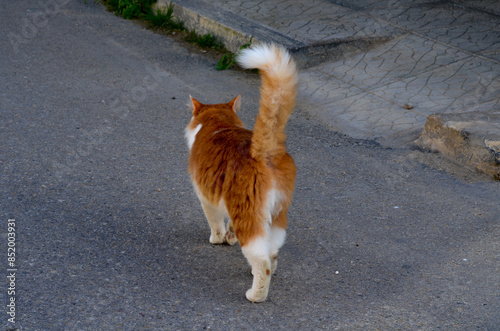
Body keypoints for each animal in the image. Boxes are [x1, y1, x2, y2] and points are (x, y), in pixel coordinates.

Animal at [187, 44, 296, 304]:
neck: (219, 125)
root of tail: (264, 149)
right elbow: (229, 225)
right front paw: (229, 237)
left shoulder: (206, 196)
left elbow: (215, 222)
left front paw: (218, 239)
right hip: (276, 215)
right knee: (272, 252)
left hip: (248, 214)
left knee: (263, 261)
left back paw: (255, 295)